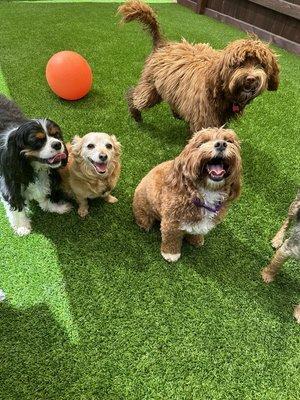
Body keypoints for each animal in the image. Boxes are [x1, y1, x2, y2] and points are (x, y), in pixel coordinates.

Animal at [117, 0, 278, 132]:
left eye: (261, 65)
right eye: (239, 64)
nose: (251, 79)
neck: (220, 88)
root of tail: (163, 44)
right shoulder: (205, 117)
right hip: (150, 88)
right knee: (136, 96)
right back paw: (135, 113)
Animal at [260, 190, 300, 322]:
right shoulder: (289, 248)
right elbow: (276, 264)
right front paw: (267, 275)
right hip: (295, 206)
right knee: (288, 219)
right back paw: (278, 239)